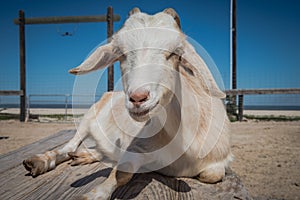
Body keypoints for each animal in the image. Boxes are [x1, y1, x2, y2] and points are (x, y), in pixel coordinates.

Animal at [22, 7, 232, 198]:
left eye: (175, 53)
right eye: (121, 53)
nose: (138, 97)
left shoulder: (218, 161)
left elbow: (213, 174)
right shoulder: (137, 147)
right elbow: (122, 173)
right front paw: (94, 195)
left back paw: (85, 155)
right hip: (87, 118)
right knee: (69, 146)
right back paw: (40, 161)